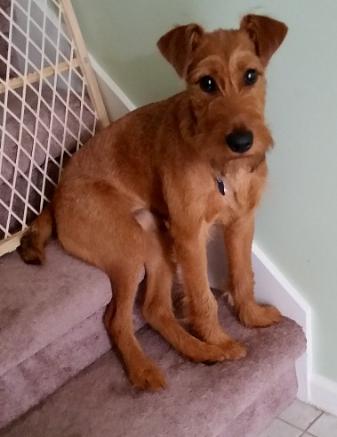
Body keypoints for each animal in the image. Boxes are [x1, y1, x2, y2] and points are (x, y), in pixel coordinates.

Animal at [17, 14, 286, 388]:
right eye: (206, 83)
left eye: (251, 75)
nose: (242, 141)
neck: (221, 169)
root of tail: (54, 199)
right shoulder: (189, 236)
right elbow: (203, 297)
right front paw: (220, 338)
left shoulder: (241, 222)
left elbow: (243, 275)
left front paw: (251, 317)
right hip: (129, 250)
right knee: (116, 319)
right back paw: (146, 370)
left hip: (155, 239)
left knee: (154, 309)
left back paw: (201, 352)